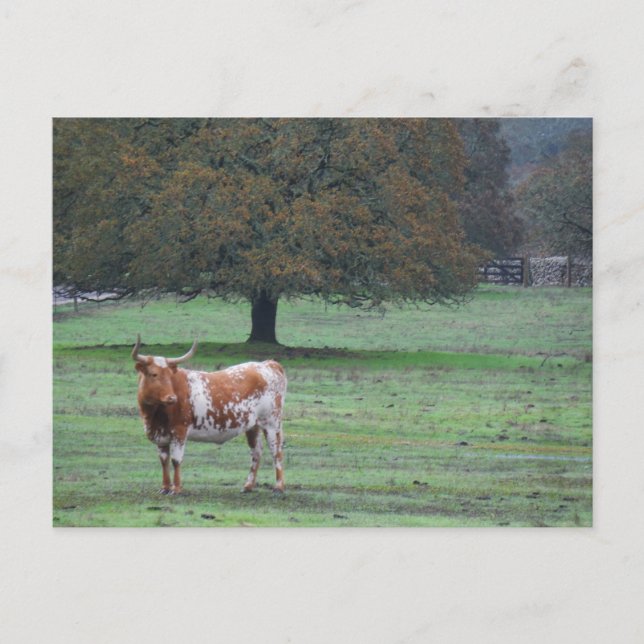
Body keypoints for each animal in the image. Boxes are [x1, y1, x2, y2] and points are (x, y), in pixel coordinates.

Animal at [132, 335, 287, 495]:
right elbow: (164, 461)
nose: (172, 398)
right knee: (256, 452)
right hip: (253, 426)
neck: (155, 415)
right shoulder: (161, 436)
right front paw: (165, 488)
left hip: (271, 423)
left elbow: (176, 460)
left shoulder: (179, 431)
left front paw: (176, 489)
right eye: (154, 374)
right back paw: (248, 486)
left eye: (170, 375)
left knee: (276, 451)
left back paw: (278, 487)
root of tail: (268, 364)